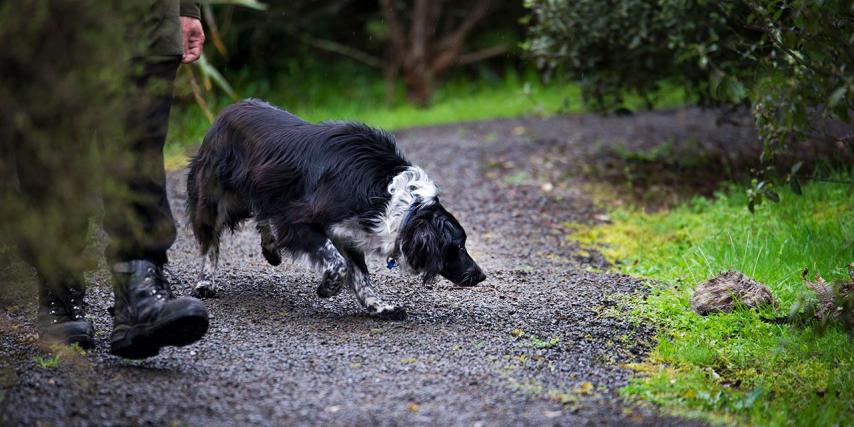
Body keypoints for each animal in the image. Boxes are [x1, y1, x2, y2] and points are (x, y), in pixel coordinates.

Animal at [186, 100, 488, 320]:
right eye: (458, 246)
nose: (481, 275)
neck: (388, 195)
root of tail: (226, 111)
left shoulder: (348, 231)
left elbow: (361, 275)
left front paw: (379, 307)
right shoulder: (298, 220)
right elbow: (338, 264)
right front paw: (327, 288)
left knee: (261, 215)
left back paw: (270, 250)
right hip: (215, 198)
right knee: (210, 243)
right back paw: (205, 283)